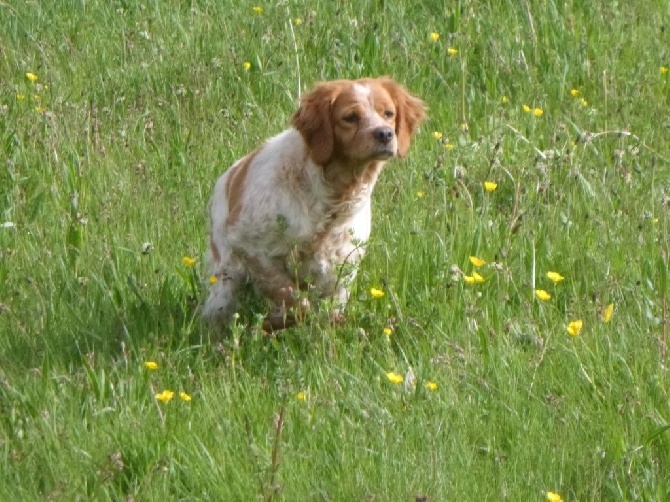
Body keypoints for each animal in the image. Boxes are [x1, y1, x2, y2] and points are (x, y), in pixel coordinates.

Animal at [202, 77, 428, 330]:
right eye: (350, 117)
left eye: (388, 113)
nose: (385, 134)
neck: (331, 194)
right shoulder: (250, 245)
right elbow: (291, 296)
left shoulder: (343, 265)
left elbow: (328, 309)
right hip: (225, 282)